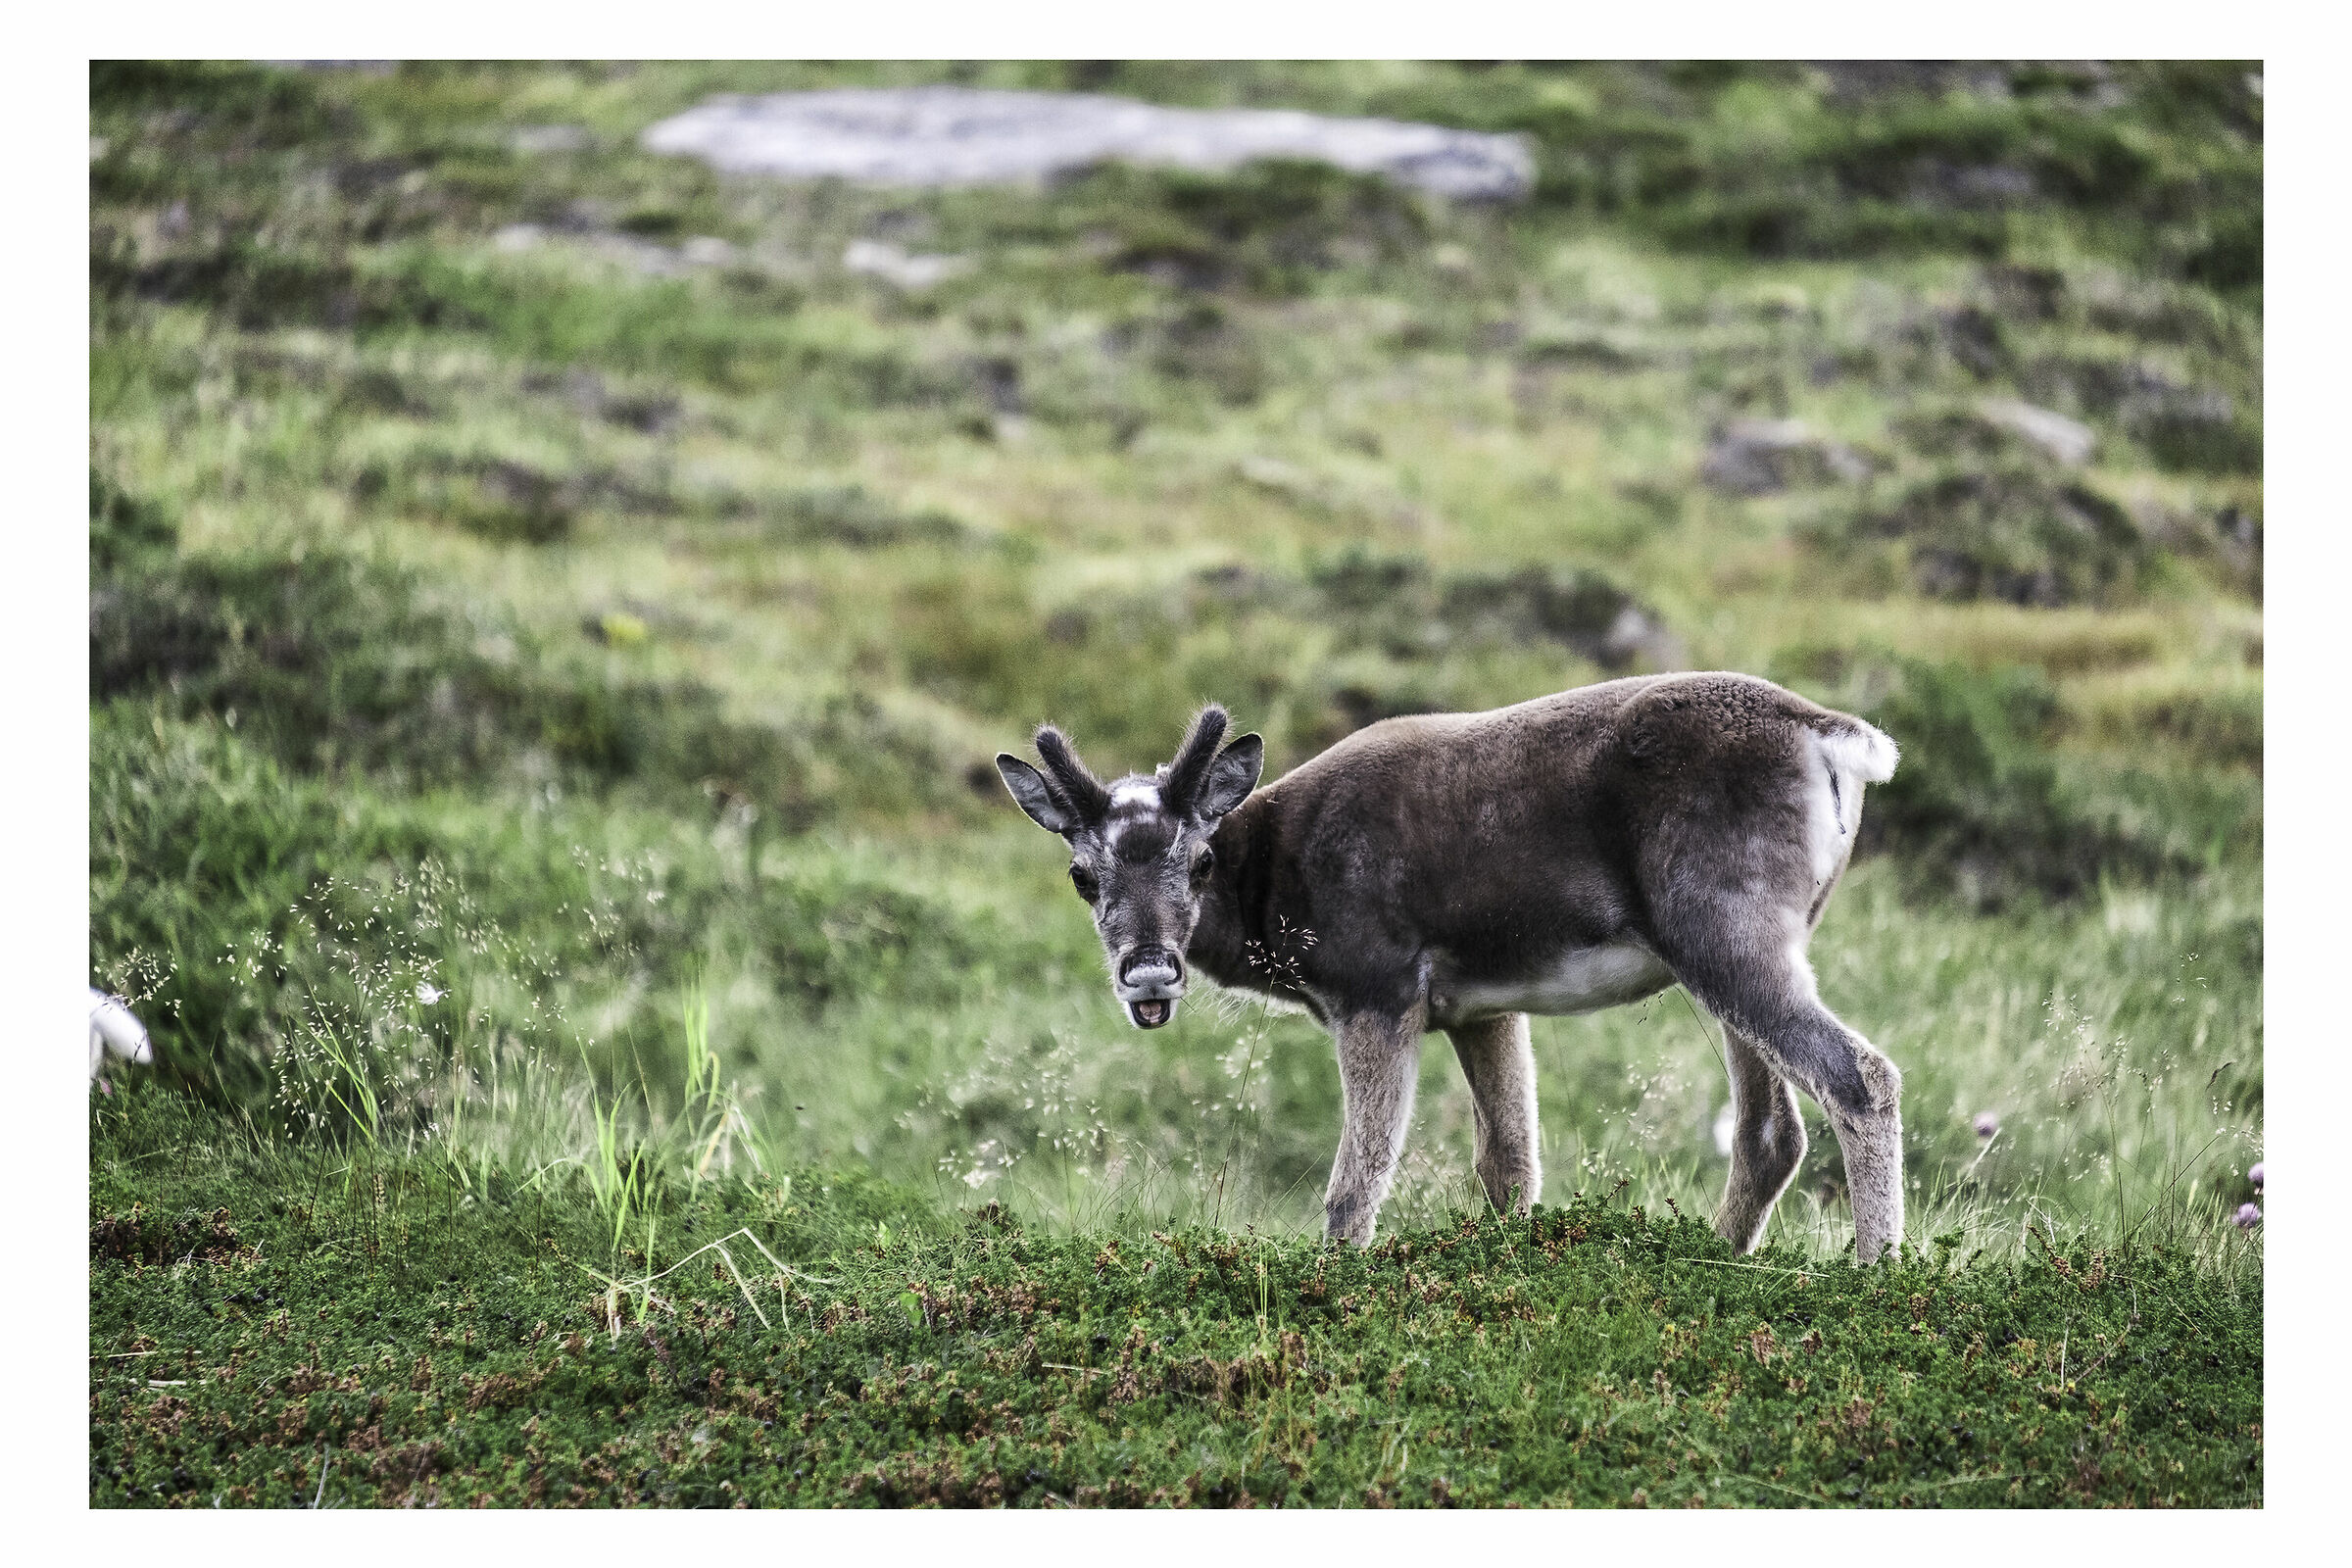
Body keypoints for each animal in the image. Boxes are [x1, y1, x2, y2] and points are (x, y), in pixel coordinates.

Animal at [994, 673, 1905, 1261]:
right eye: (1083, 875)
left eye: (1202, 861)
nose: (1149, 970)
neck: (1272, 880)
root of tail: (1831, 736)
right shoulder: (1483, 1010)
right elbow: (1509, 1164)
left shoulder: (1377, 993)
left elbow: (1356, 1182)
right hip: (1728, 956)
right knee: (1771, 1131)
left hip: (1724, 935)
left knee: (1861, 1075)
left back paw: (1874, 1273)